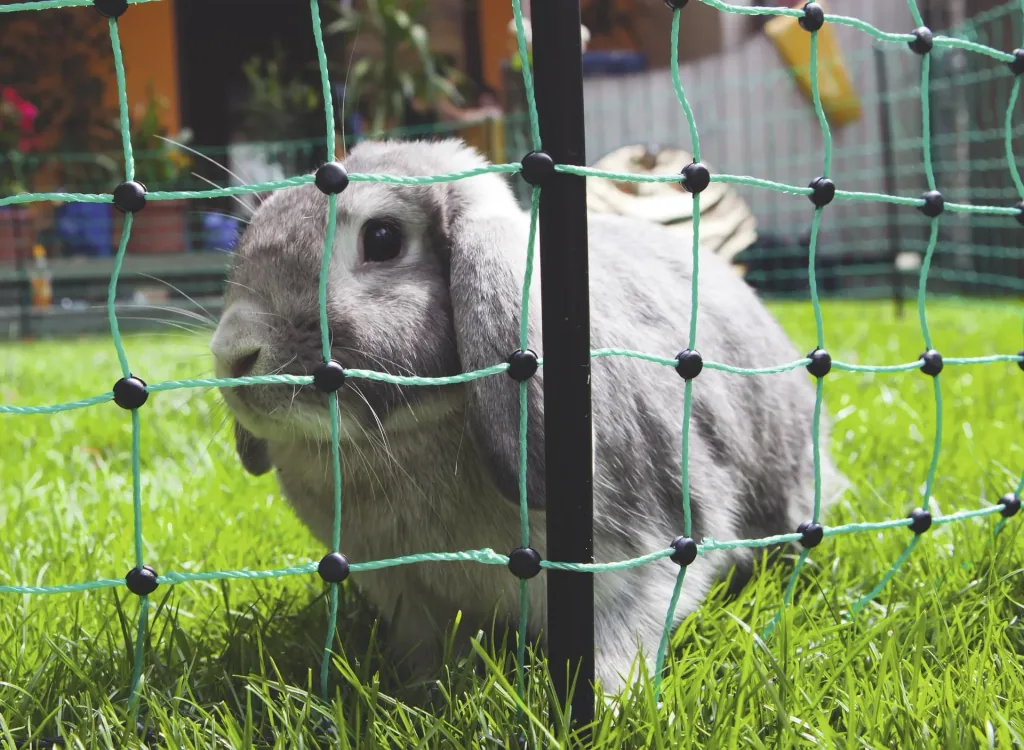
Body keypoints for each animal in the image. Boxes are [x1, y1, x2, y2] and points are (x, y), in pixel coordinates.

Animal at [209, 138, 848, 695]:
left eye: (383, 239)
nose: (233, 354)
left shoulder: (636, 564)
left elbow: (621, 642)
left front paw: (608, 706)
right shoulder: (409, 598)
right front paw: (420, 695)